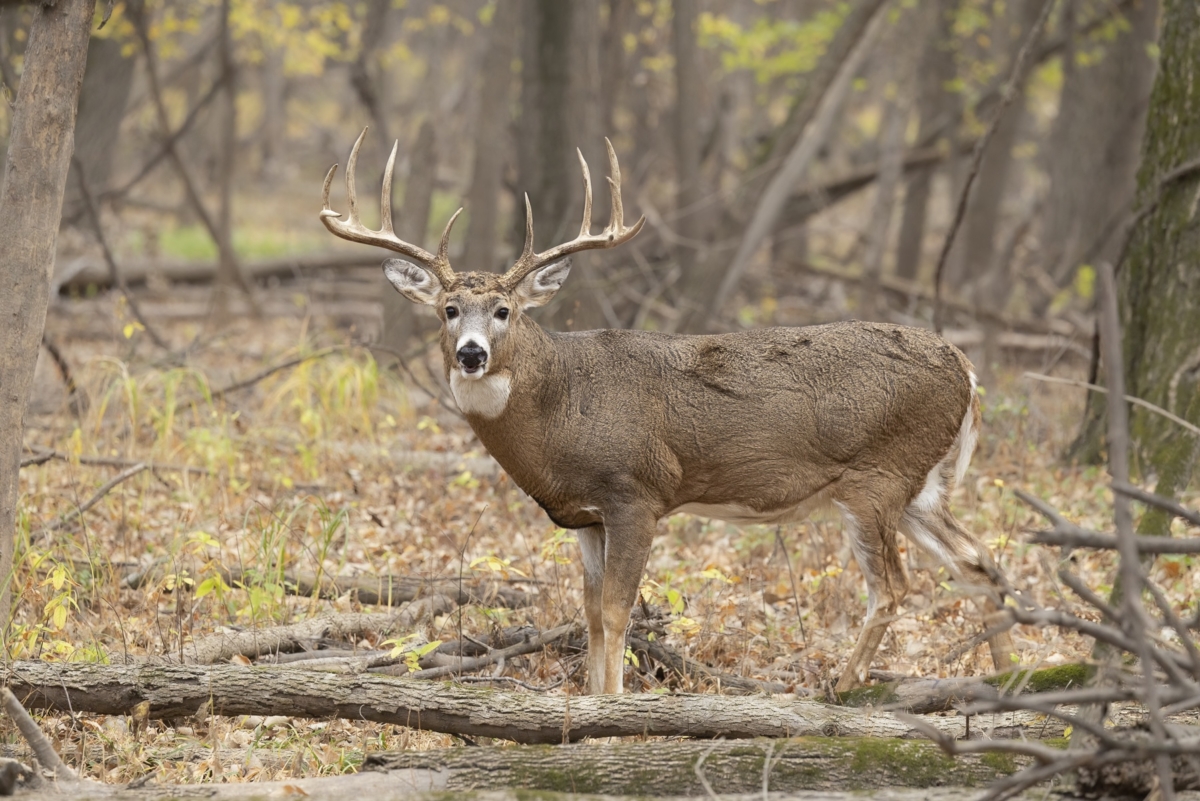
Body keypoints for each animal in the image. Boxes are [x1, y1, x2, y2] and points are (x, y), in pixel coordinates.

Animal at [319, 129, 1017, 695]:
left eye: (503, 310)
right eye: (447, 309)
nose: (471, 354)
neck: (562, 409)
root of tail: (965, 365)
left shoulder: (638, 492)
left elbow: (619, 612)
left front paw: (613, 708)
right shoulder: (586, 516)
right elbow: (591, 614)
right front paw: (593, 701)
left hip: (876, 477)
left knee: (893, 589)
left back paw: (841, 690)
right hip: (919, 485)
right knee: (980, 563)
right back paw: (1009, 680)